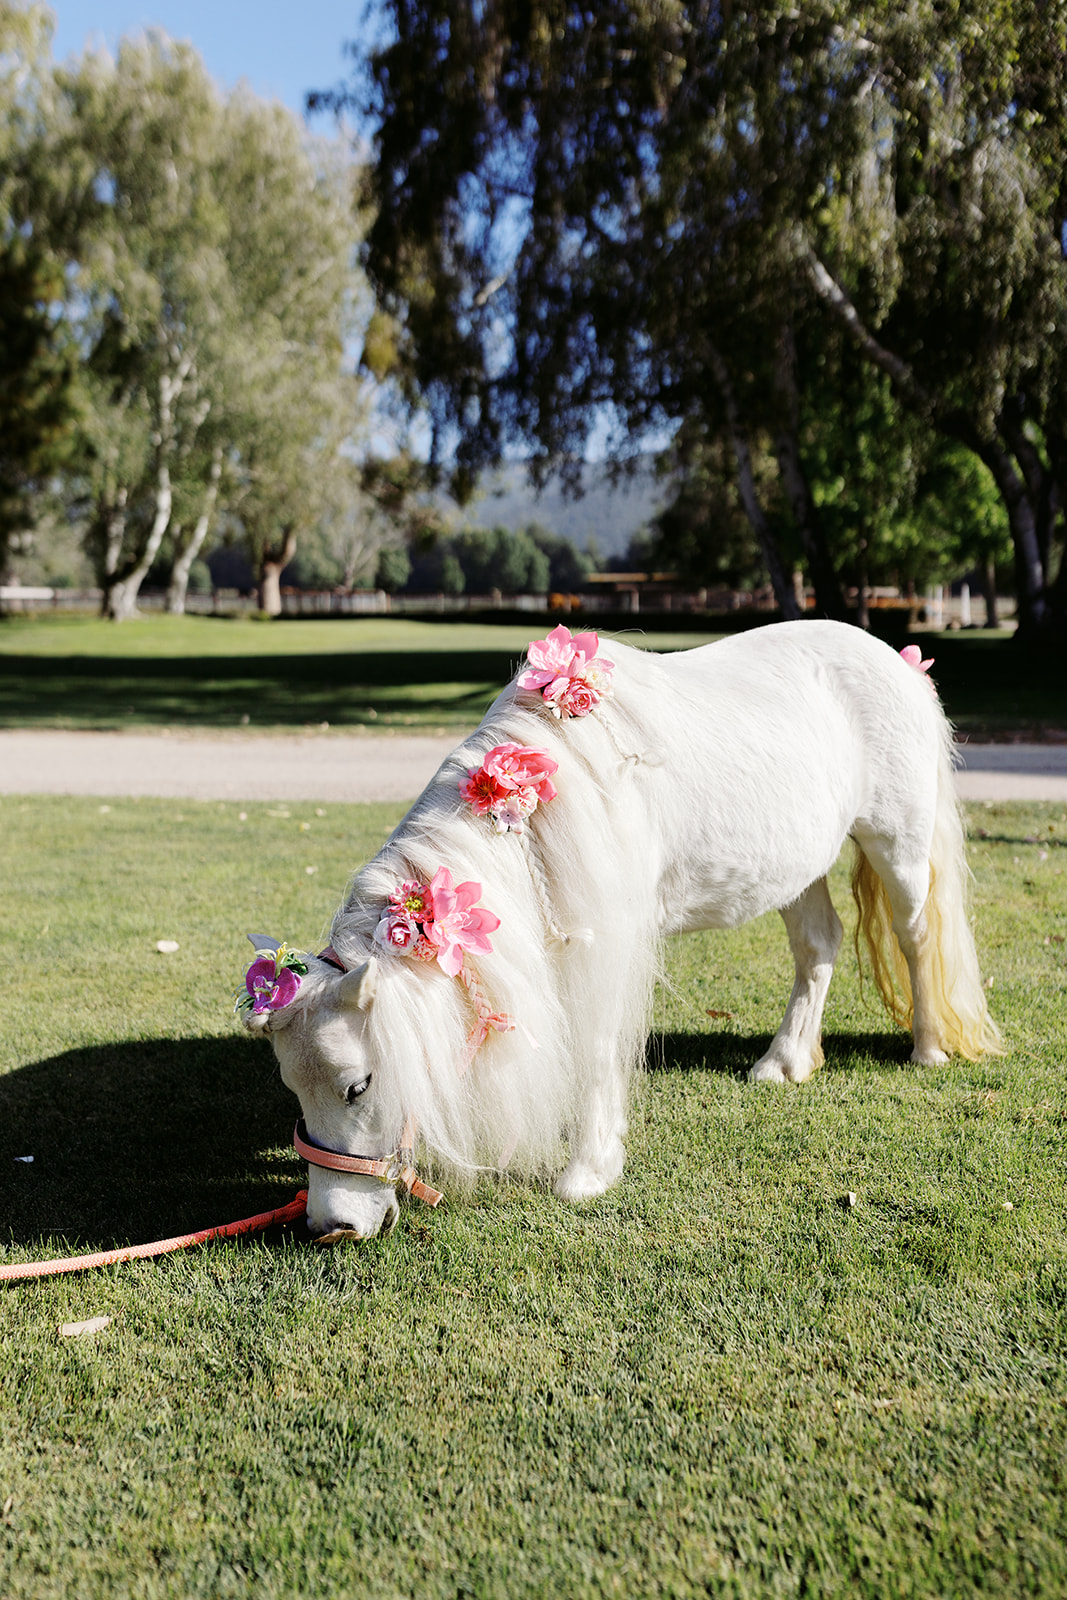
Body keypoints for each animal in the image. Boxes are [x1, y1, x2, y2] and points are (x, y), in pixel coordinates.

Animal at [240, 618, 1001, 1240]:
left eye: (358, 1086)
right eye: (293, 1090)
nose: (330, 1226)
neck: (542, 799)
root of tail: (899, 663)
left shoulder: (608, 946)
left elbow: (599, 1045)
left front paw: (588, 1170)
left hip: (899, 846)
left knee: (915, 935)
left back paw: (929, 1047)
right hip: (797, 866)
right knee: (818, 944)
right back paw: (783, 1062)